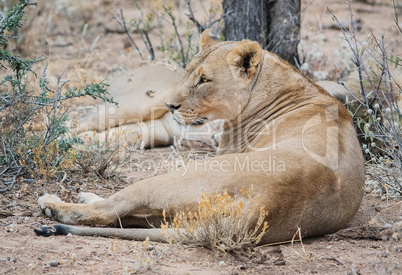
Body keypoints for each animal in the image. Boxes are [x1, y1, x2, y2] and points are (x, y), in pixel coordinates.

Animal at [37, 30, 364, 246]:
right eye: (188, 72)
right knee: (123, 212)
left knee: (108, 210)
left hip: (174, 178)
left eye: (204, 80)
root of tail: (258, 208)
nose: (169, 105)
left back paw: (54, 204)